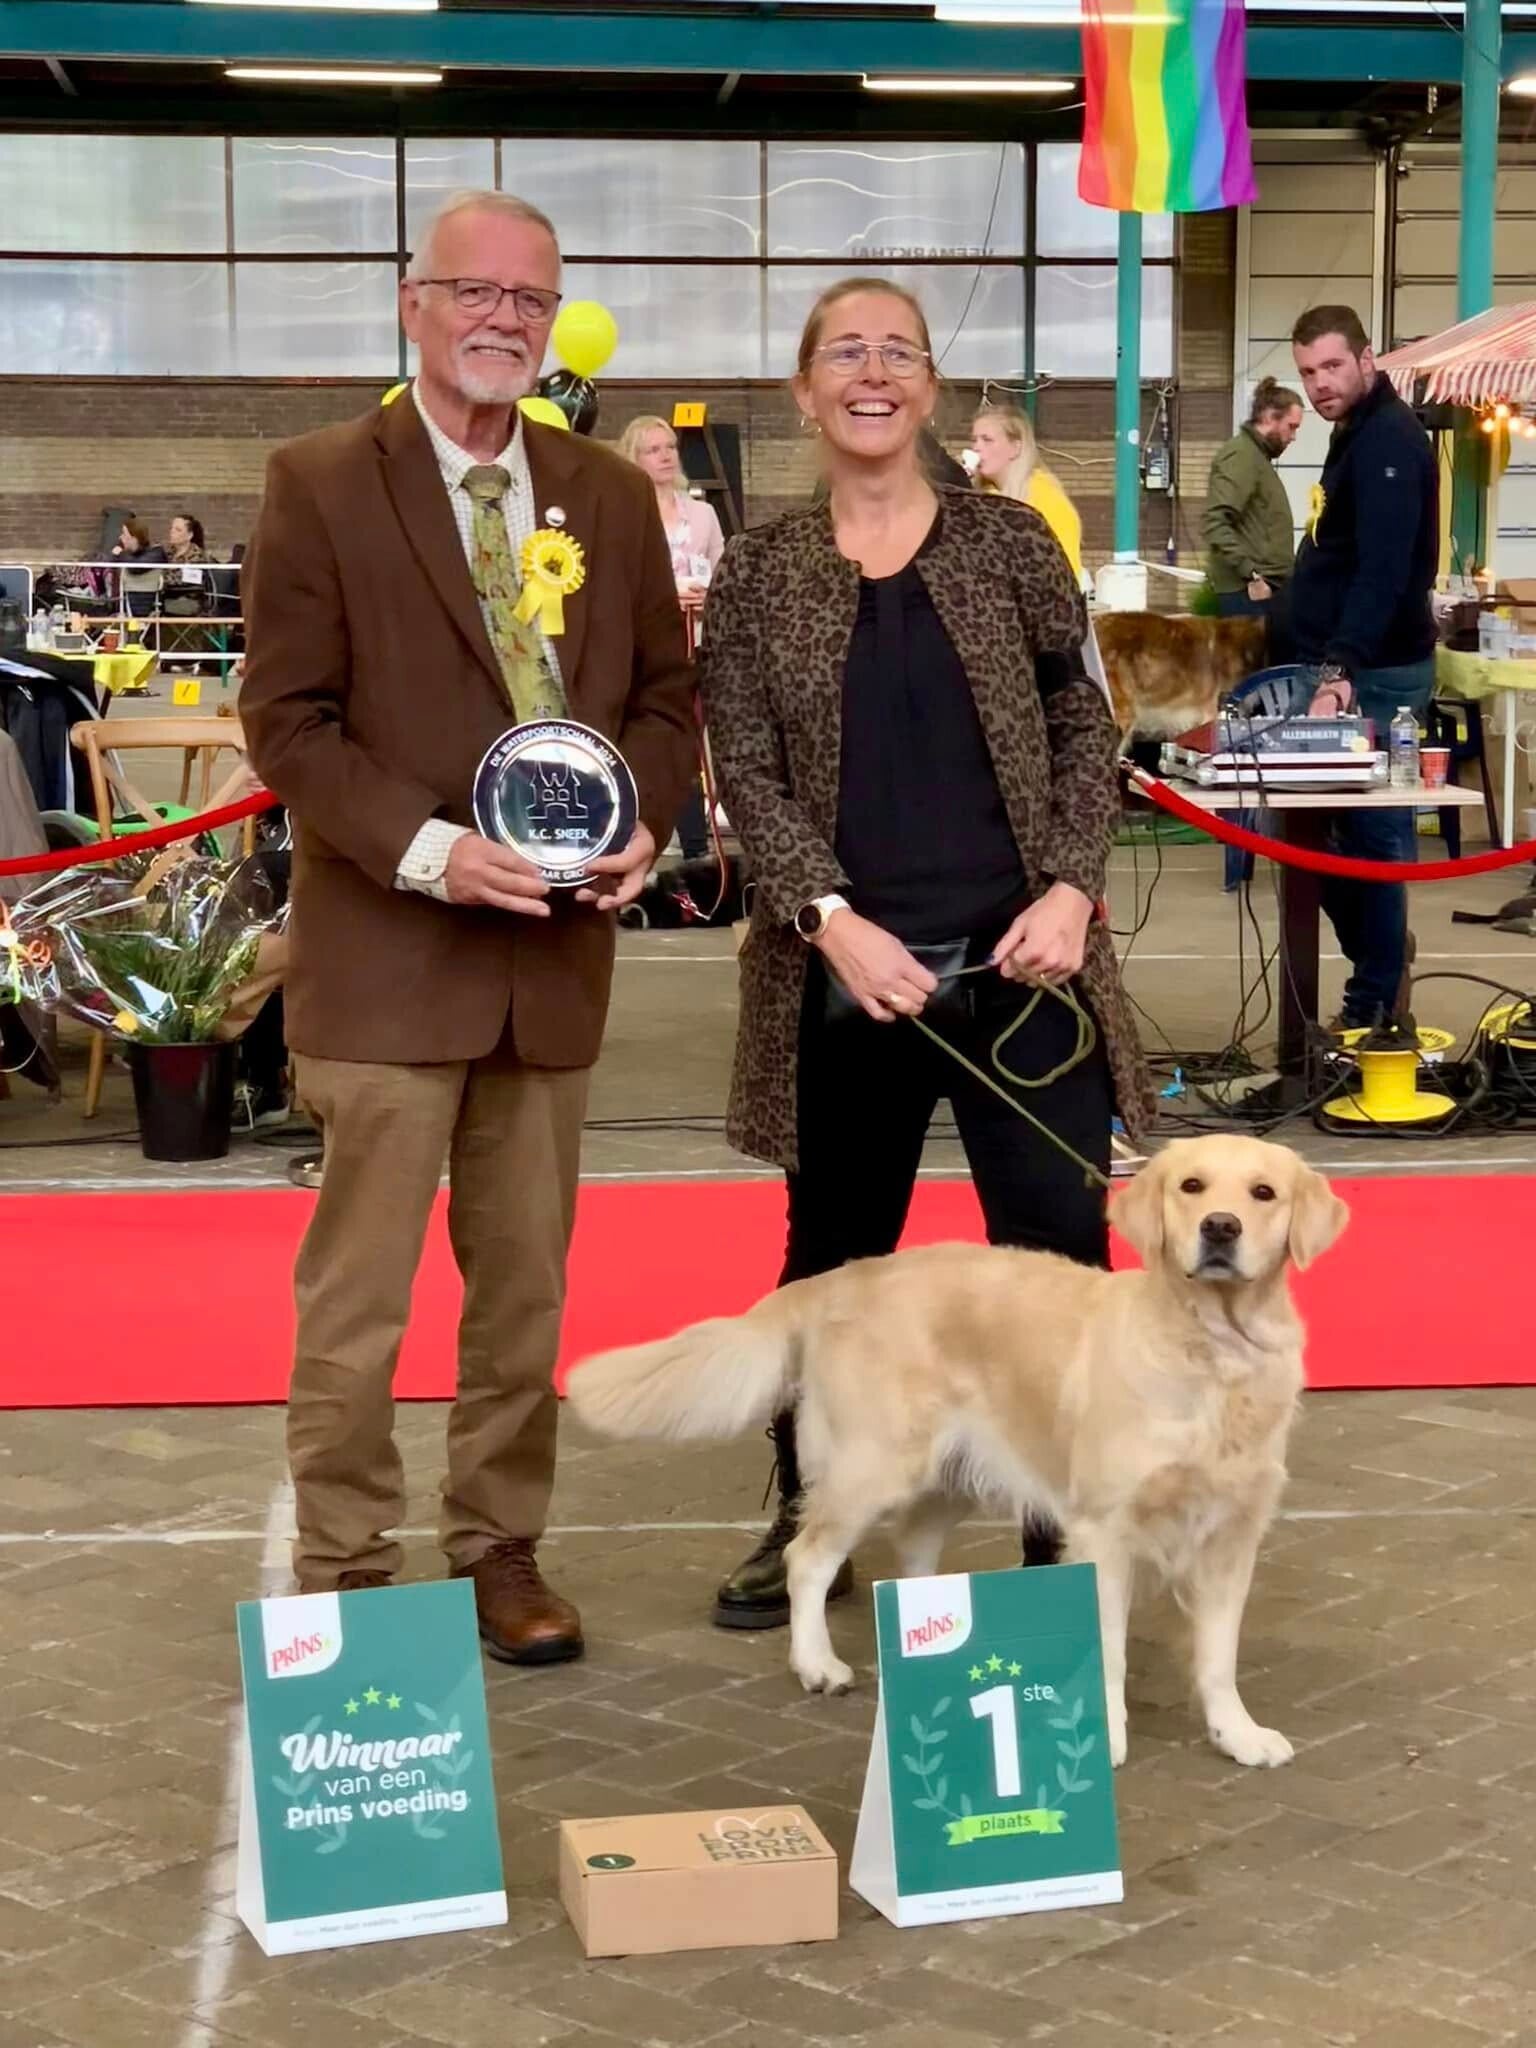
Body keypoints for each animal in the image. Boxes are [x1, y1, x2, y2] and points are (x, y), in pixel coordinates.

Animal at [568, 1136, 1348, 1769]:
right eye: (1192, 1187)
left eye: (1263, 1193)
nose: (1221, 1228)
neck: (1212, 1353)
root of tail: (842, 1276)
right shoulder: (1105, 1530)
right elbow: (1111, 1649)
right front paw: (1108, 1738)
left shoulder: (1232, 1535)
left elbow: (1219, 1653)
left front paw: (1237, 1734)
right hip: (876, 1464)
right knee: (807, 1557)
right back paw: (817, 1664)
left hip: (948, 1478)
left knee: (911, 1555)